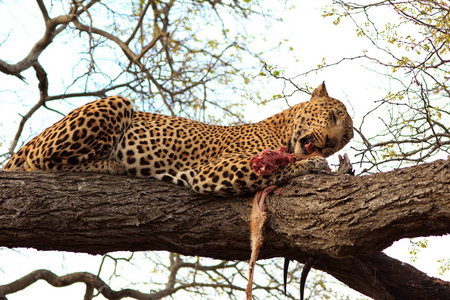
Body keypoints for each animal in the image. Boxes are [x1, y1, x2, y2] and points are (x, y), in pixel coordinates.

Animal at [4, 82, 356, 196]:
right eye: (333, 117)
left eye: (345, 139)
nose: (329, 144)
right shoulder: (213, 171)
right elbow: (286, 165)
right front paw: (313, 163)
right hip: (117, 102)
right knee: (43, 161)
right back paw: (112, 164)